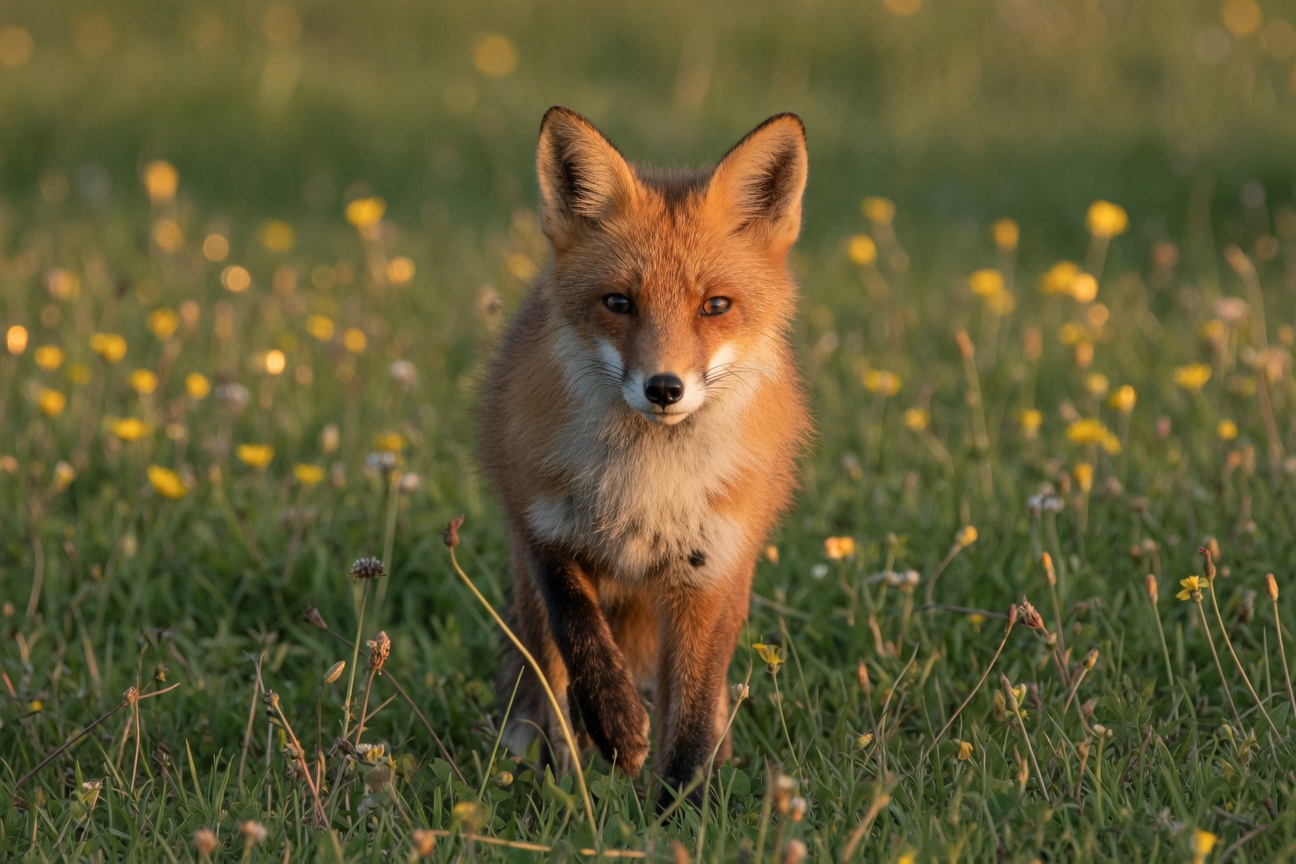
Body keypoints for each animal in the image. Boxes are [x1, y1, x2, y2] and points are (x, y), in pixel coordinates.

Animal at [478, 106, 810, 807]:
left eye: (716, 306)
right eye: (618, 302)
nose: (664, 388)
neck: (646, 487)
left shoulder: (707, 572)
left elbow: (690, 717)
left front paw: (679, 811)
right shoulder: (542, 527)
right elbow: (580, 632)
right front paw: (616, 727)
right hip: (529, 596)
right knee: (549, 689)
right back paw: (563, 779)